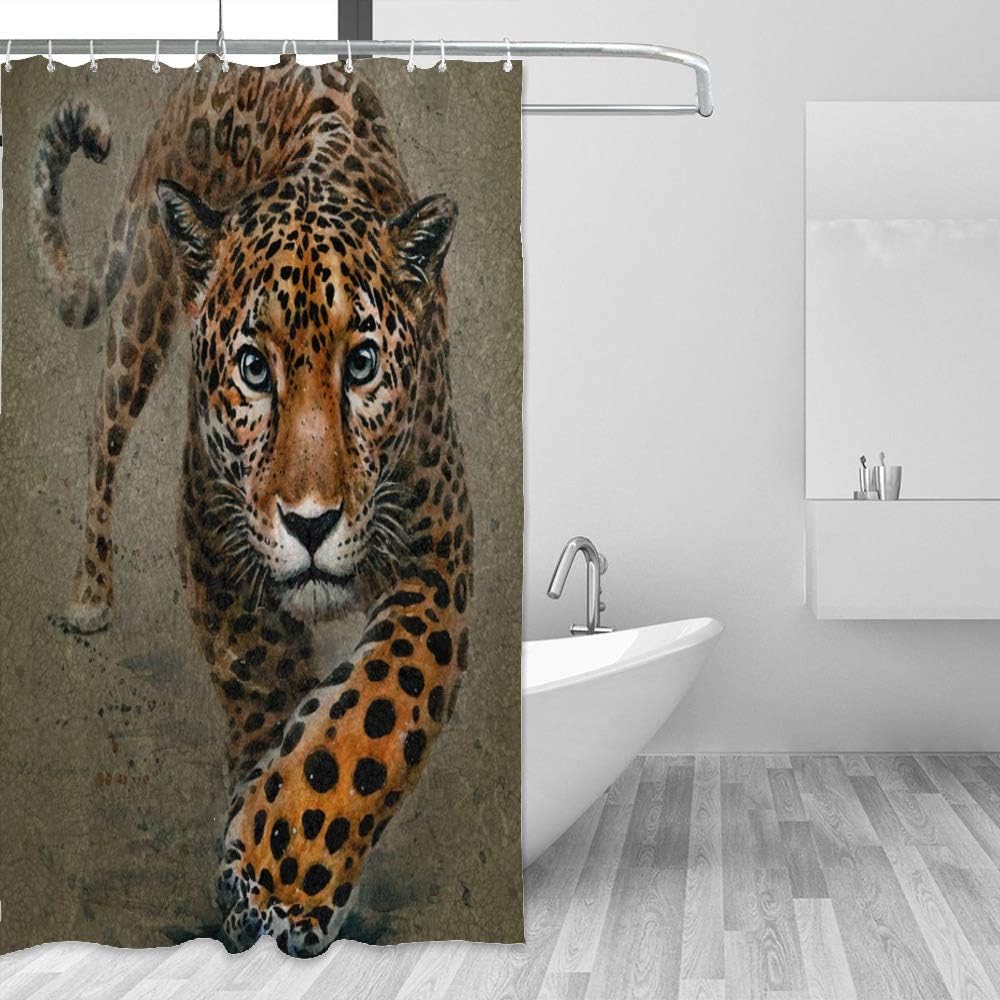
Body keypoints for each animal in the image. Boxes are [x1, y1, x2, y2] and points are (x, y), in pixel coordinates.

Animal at [31, 54, 473, 956]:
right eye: (253, 369)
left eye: (363, 363)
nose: (310, 522)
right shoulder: (215, 537)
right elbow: (267, 686)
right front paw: (268, 870)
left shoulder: (437, 558)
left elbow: (374, 711)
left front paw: (289, 873)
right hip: (144, 297)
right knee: (102, 428)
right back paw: (91, 591)